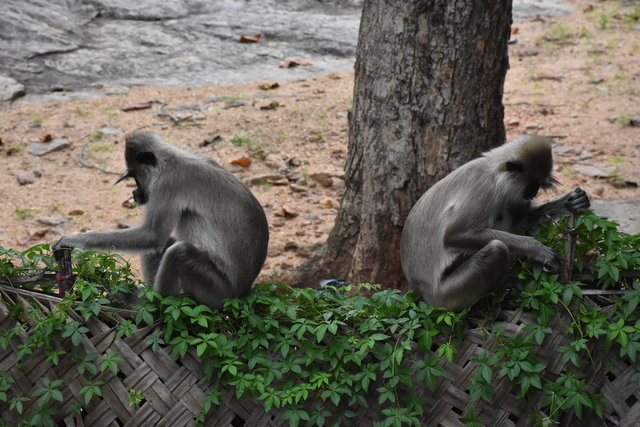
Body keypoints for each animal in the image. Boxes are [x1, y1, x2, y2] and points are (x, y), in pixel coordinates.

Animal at [53, 131, 269, 309]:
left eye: (136, 177)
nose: (135, 193)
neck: (172, 160)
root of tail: (242, 292)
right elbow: (154, 241)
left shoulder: (168, 183)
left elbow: (152, 236)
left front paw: (74, 241)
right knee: (165, 245)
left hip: (218, 292)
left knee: (179, 253)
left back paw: (152, 303)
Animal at [400, 135, 590, 312]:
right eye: (532, 185)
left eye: (537, 186)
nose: (534, 193)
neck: (493, 171)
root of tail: (423, 295)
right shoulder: (484, 187)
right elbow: (453, 235)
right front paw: (537, 249)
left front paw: (572, 202)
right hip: (447, 295)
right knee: (497, 248)